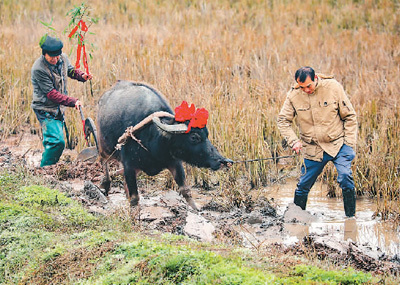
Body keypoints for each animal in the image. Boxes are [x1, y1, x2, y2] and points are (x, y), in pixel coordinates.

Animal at [96, 80, 231, 209]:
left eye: (207, 134)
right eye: (194, 137)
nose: (223, 161)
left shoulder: (174, 162)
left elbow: (185, 190)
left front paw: (196, 210)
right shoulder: (129, 165)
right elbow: (135, 198)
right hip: (104, 147)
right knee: (103, 160)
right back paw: (105, 184)